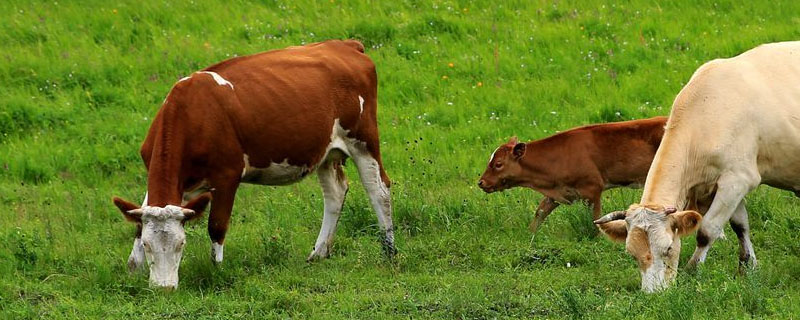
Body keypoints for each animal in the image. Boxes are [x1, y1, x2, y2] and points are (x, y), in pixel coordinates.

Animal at [111, 40, 398, 290]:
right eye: (148, 245)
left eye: (181, 244)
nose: (164, 288)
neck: (190, 113)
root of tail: (345, 45)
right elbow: (139, 223)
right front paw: (133, 272)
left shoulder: (226, 176)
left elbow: (216, 226)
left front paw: (217, 271)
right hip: (326, 152)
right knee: (336, 193)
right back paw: (318, 253)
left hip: (363, 139)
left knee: (379, 189)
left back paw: (389, 251)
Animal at [478, 116, 664, 231]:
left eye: (498, 164)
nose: (481, 182)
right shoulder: (555, 192)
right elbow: (540, 212)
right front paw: (529, 235)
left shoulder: (592, 189)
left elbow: (595, 219)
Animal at [592, 42, 800, 292]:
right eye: (632, 253)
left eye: (668, 248)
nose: (653, 294)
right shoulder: (722, 185)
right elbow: (740, 225)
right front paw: (747, 267)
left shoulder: (737, 179)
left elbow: (707, 230)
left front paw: (692, 270)